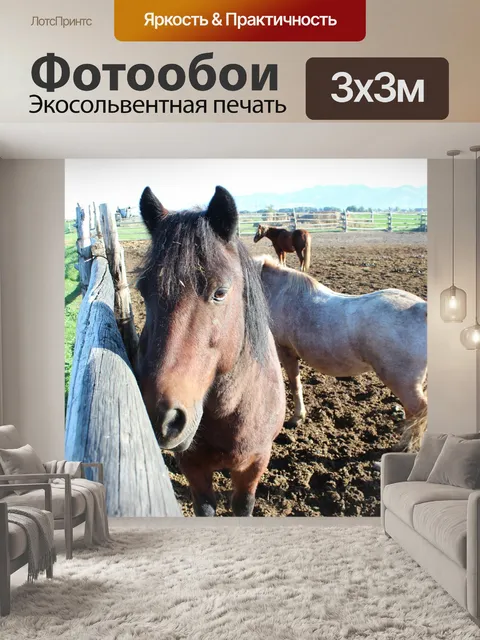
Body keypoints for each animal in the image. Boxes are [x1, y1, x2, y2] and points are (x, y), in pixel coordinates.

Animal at [135, 187, 286, 516]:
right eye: (143, 290)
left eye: (220, 293)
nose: (161, 418)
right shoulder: (193, 467)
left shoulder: (254, 464)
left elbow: (243, 506)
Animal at [254, 255, 427, 450]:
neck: (279, 294)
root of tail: (422, 308)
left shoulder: (285, 352)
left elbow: (294, 385)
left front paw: (296, 417)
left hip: (402, 383)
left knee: (417, 412)